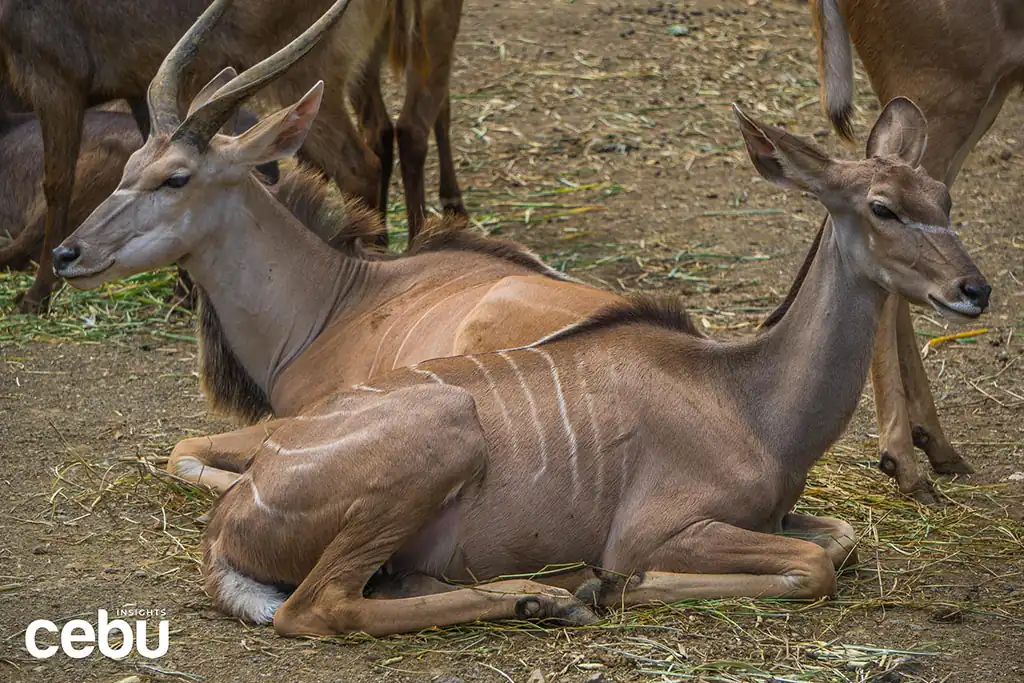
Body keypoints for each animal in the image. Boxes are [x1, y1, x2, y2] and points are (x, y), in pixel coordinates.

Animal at [0, 0, 464, 313]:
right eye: (130, 168)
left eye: (176, 178)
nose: (67, 254)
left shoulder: (57, 86)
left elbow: (56, 181)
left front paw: (35, 297)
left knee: (368, 158)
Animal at [56, 63, 991, 630]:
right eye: (882, 207)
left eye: (943, 196)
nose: (973, 288)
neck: (747, 395)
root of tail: (229, 522)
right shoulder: (661, 526)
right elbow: (810, 565)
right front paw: (614, 584)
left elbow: (837, 540)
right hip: (440, 437)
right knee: (318, 607)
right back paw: (552, 593)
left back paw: (536, 594)